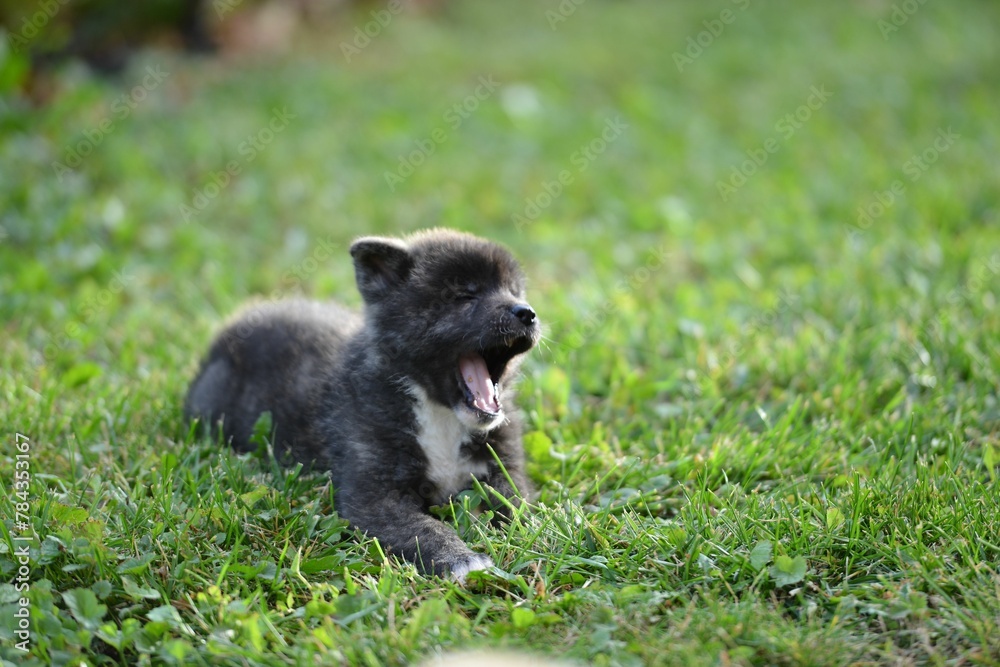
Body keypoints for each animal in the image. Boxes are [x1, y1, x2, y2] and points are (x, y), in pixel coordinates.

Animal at [182, 228, 540, 580]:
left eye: (514, 291)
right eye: (465, 296)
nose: (527, 312)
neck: (440, 413)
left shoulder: (504, 470)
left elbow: (522, 507)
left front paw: (539, 534)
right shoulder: (374, 496)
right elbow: (424, 528)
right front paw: (461, 560)